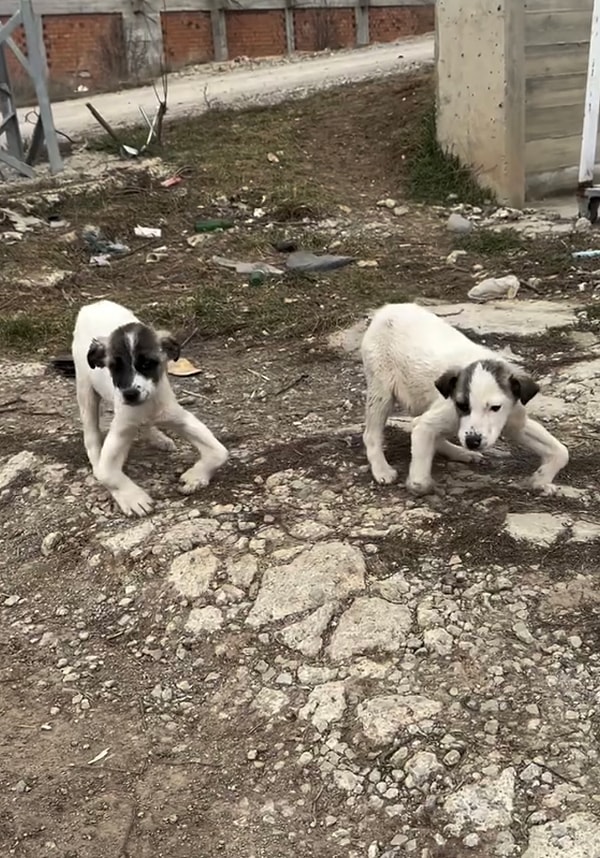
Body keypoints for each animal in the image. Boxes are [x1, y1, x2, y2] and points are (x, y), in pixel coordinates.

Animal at [71, 300, 230, 516]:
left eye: (147, 363)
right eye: (114, 367)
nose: (130, 394)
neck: (147, 406)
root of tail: (95, 304)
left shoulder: (178, 417)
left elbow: (220, 452)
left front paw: (196, 477)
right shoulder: (121, 429)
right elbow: (107, 474)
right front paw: (133, 498)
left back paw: (159, 438)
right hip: (85, 390)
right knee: (91, 435)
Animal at [358, 302, 568, 494]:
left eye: (495, 408)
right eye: (462, 405)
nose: (473, 442)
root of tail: (387, 309)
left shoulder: (516, 423)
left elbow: (562, 452)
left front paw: (540, 480)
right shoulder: (430, 422)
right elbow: (420, 481)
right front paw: (422, 485)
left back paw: (461, 452)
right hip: (381, 392)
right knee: (371, 435)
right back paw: (382, 469)